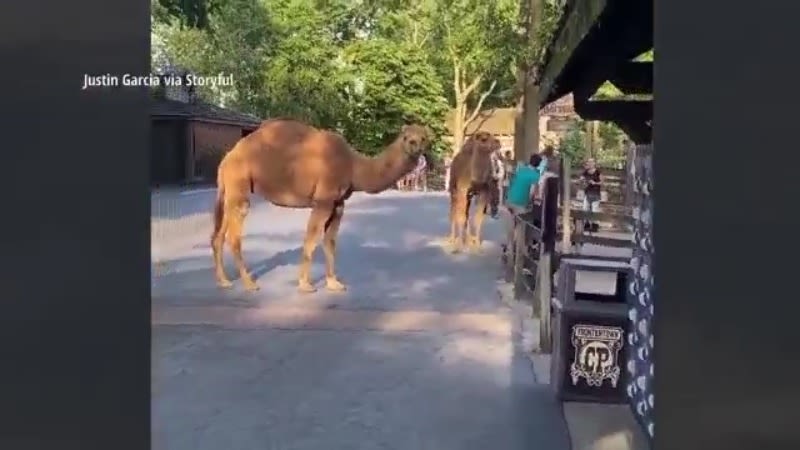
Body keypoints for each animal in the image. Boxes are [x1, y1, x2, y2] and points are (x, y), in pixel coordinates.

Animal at [209, 118, 428, 292]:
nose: (414, 145)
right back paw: (249, 283)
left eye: (424, 137)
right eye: (406, 137)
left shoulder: (338, 204)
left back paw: (224, 281)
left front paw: (334, 283)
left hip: (228, 190)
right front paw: (305, 284)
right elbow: (312, 239)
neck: (353, 166)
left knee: (218, 235)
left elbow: (330, 242)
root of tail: (227, 158)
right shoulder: (323, 200)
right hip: (239, 182)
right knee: (234, 235)